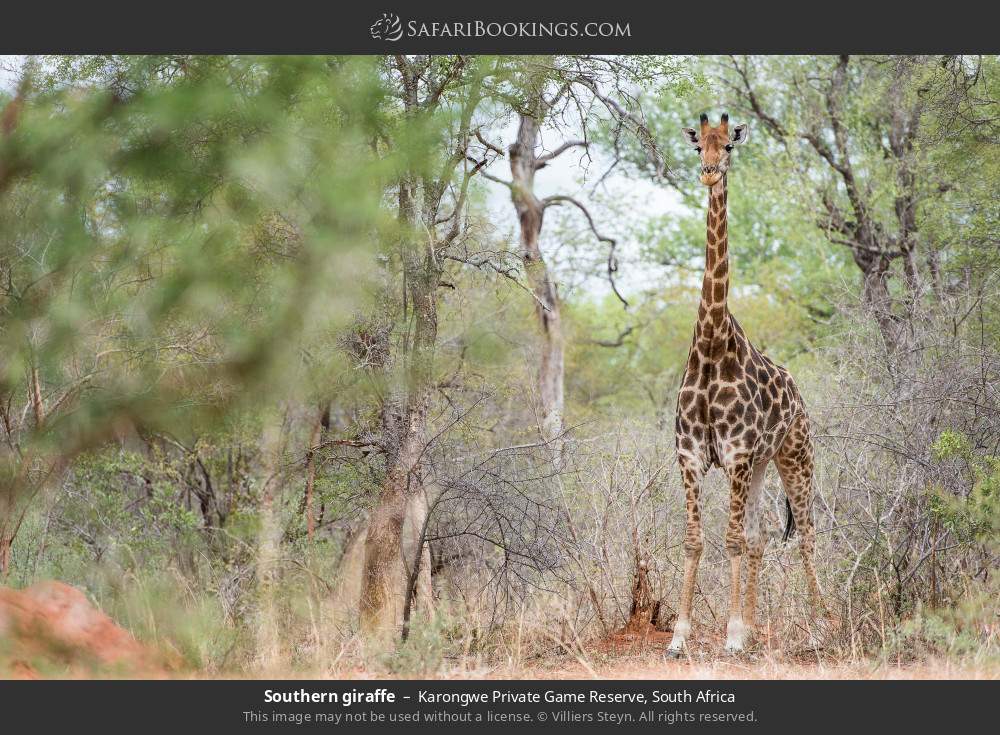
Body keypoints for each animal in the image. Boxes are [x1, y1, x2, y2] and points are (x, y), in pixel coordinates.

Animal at [665, 113, 824, 658]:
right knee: (759, 536)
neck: (711, 344)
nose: (710, 173)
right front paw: (680, 636)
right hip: (759, 466)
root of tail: (799, 393)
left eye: (729, 147)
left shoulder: (733, 455)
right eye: (699, 147)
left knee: (806, 533)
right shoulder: (693, 456)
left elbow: (730, 539)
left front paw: (731, 633)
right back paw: (757, 630)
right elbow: (695, 540)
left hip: (794, 455)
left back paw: (822, 625)